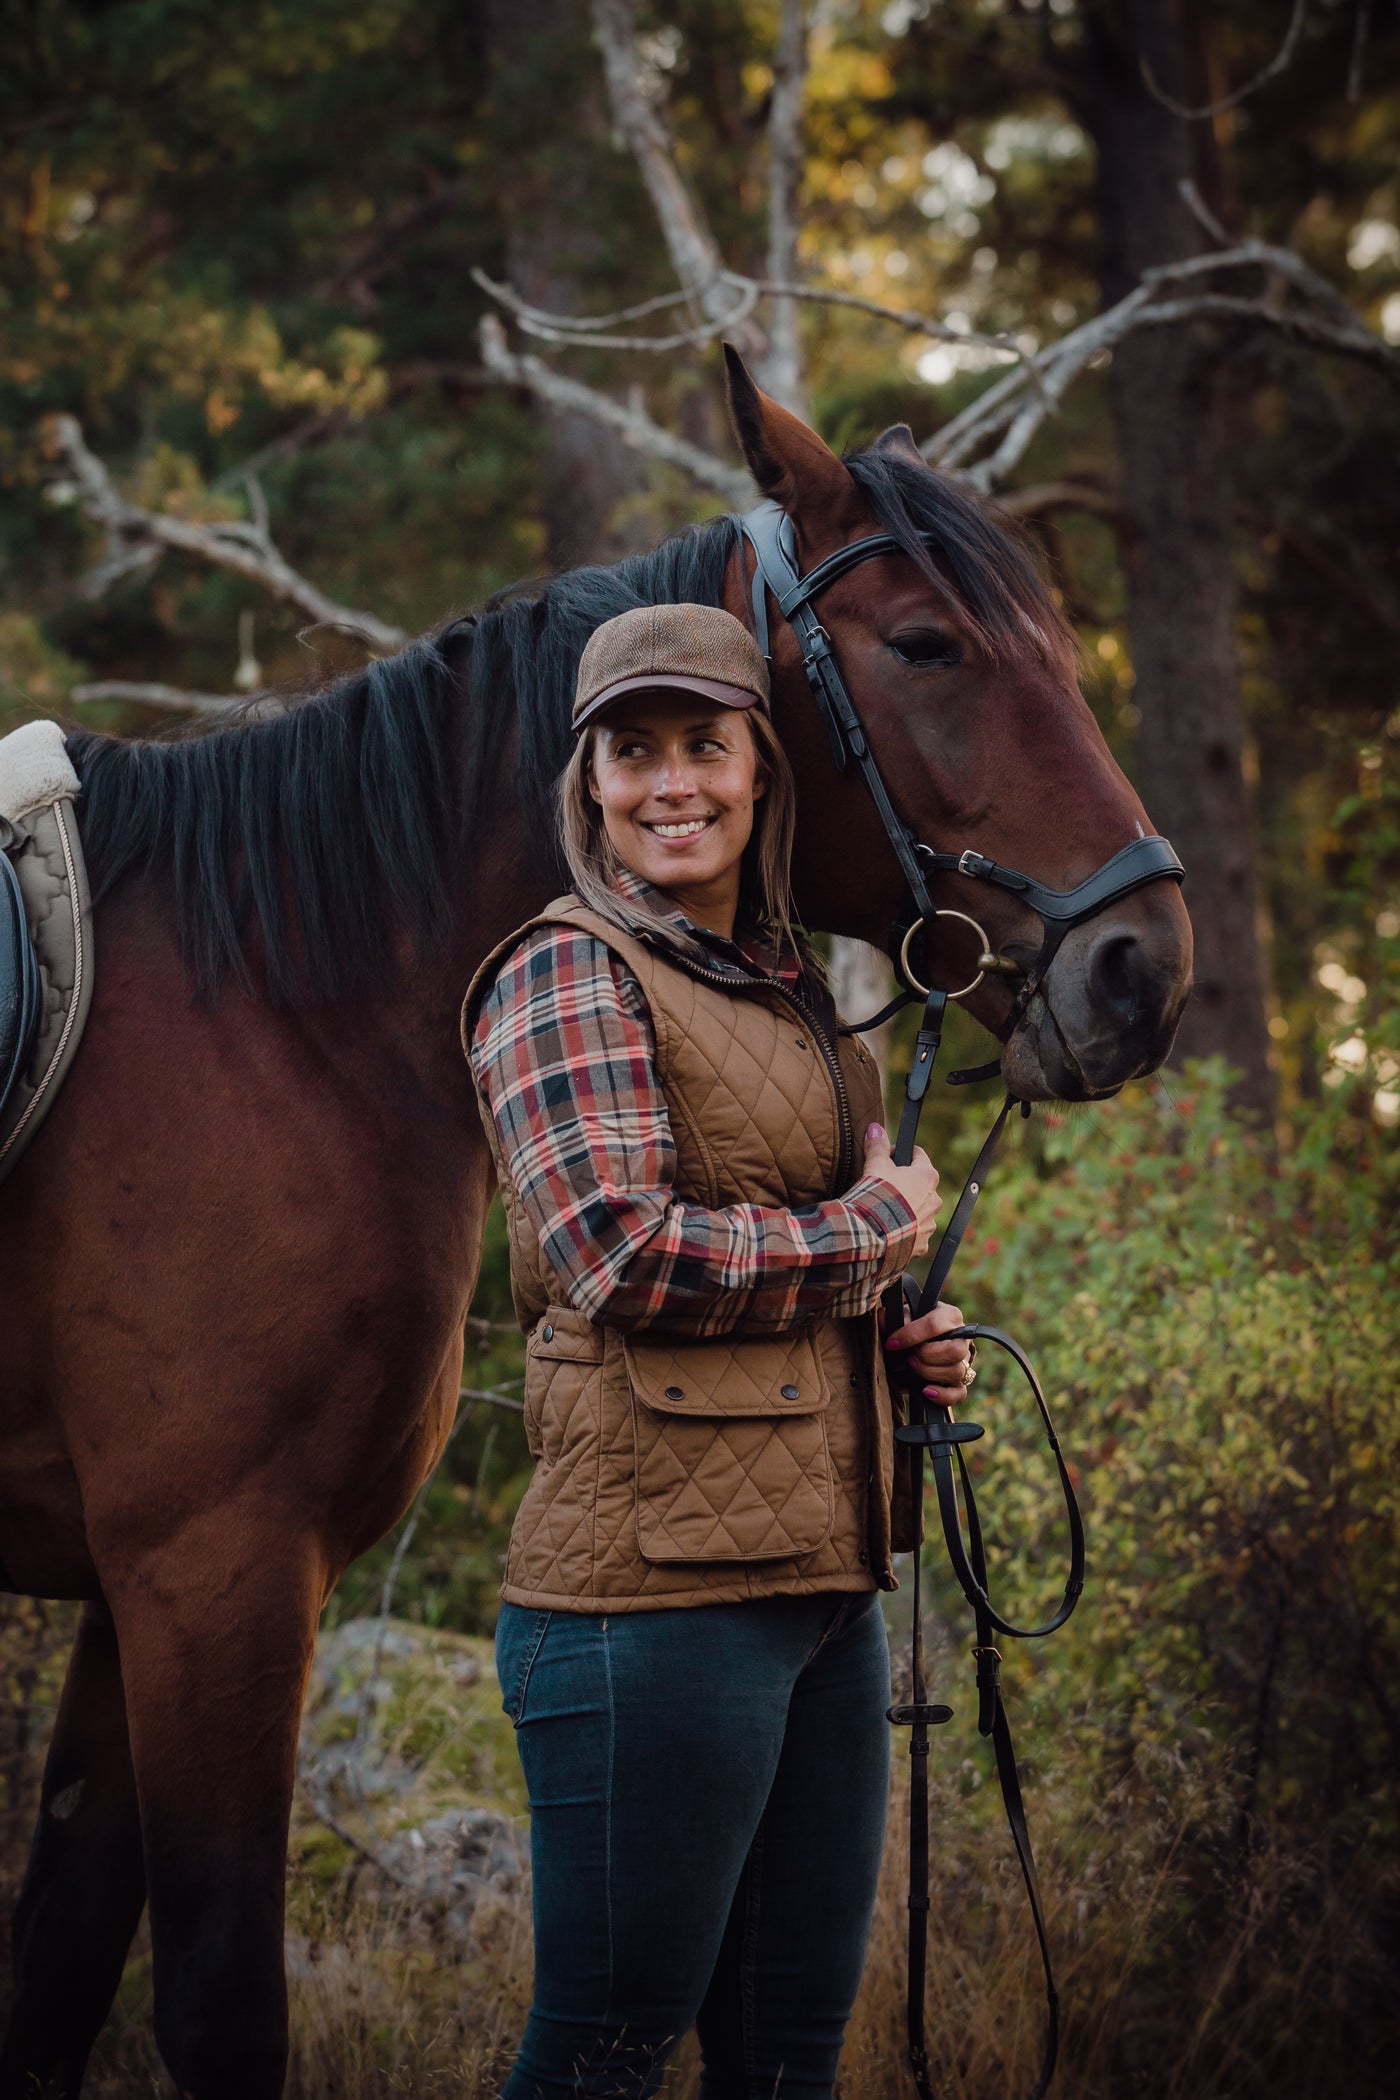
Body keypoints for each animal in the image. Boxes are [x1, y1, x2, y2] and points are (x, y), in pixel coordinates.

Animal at [0, 352, 1192, 2091]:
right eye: (927, 645)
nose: (1143, 971)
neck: (280, 1005)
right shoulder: (213, 1571)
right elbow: (221, 2002)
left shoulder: (137, 1588)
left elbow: (61, 1970)